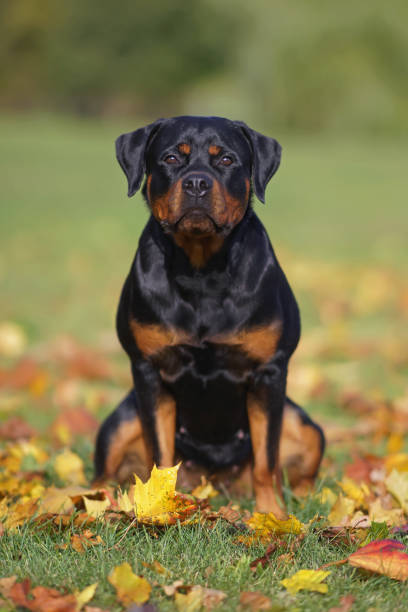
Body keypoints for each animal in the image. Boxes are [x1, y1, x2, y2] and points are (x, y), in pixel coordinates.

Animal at [94, 115, 324, 516]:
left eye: (227, 159)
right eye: (171, 158)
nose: (197, 182)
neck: (201, 270)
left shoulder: (269, 372)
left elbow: (267, 460)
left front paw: (272, 516)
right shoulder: (147, 369)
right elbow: (160, 453)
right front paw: (159, 508)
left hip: (305, 426)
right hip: (121, 419)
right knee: (103, 471)